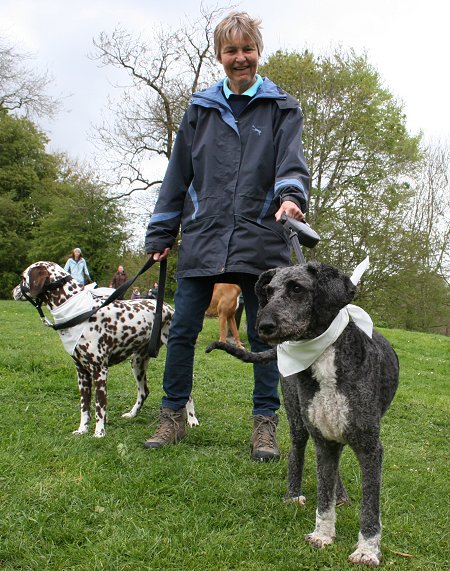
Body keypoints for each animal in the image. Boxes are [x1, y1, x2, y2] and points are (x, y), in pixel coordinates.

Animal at [14, 262, 198, 438]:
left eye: (23, 277)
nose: (13, 291)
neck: (79, 312)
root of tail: (168, 307)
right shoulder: (82, 373)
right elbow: (85, 408)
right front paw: (82, 430)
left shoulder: (99, 371)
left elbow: (99, 408)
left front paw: (99, 433)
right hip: (137, 363)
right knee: (143, 392)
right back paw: (132, 414)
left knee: (186, 395)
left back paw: (192, 419)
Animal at [206, 262, 400, 568]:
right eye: (269, 291)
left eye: (297, 288)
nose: (264, 326)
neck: (322, 355)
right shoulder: (323, 441)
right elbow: (323, 496)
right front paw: (323, 535)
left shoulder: (369, 447)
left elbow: (369, 505)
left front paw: (367, 551)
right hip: (298, 421)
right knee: (296, 453)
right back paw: (293, 494)